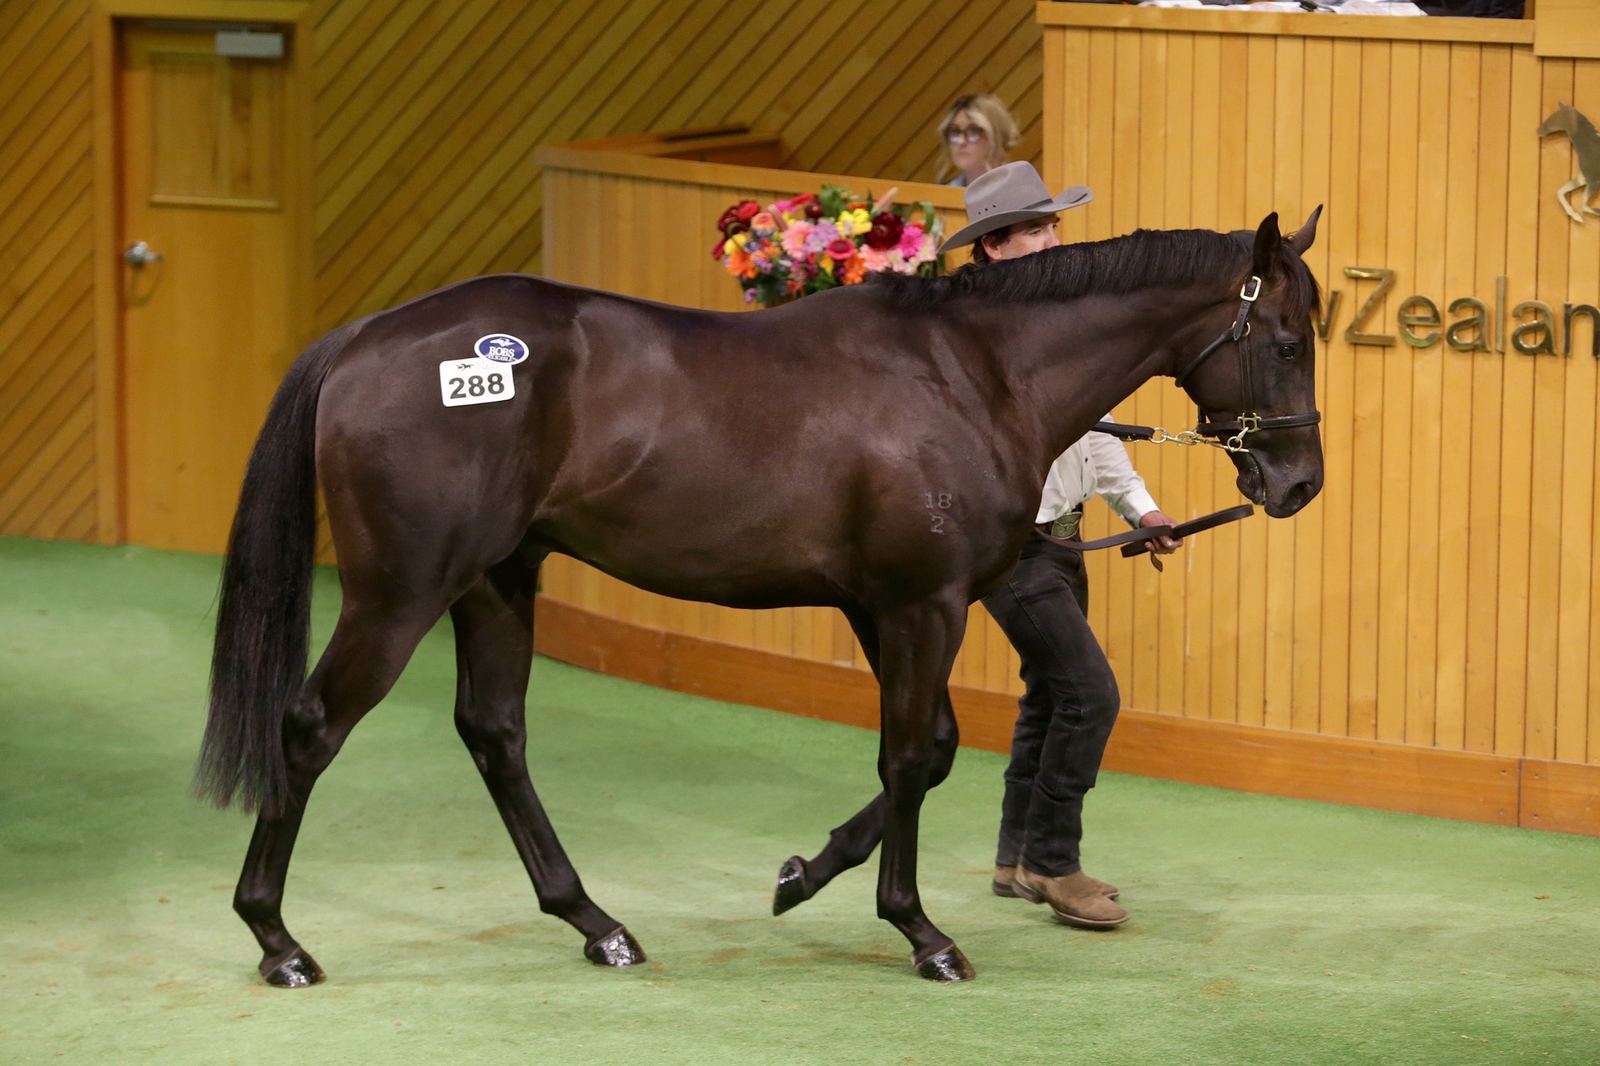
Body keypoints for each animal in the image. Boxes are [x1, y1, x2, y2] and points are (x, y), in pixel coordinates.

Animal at [197, 207, 1325, 986]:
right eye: (1284, 339)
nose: (1298, 484)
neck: (971, 373)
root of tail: (364, 340)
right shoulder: (922, 604)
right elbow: (909, 757)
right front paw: (921, 932)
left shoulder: (882, 606)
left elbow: (934, 750)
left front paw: (800, 876)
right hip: (402, 591)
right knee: (311, 727)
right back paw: (276, 939)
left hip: (497, 579)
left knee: (495, 733)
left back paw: (595, 923)